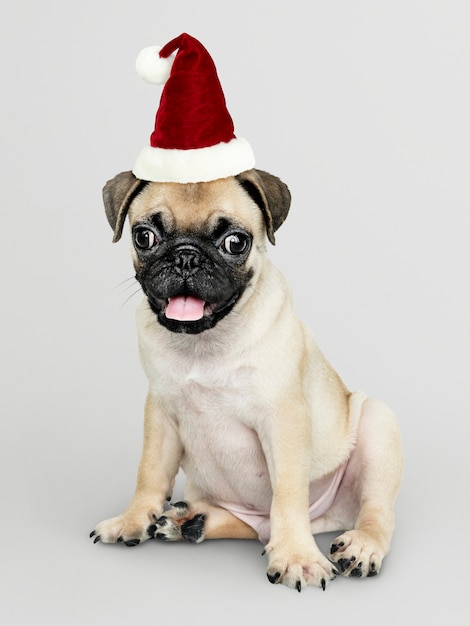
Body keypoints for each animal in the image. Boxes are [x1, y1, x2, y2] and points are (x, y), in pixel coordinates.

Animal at [91, 167, 404, 588]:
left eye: (235, 242)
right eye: (145, 237)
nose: (186, 256)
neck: (204, 344)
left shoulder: (284, 420)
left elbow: (287, 493)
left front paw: (296, 557)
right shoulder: (160, 412)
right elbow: (150, 473)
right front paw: (131, 520)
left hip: (378, 425)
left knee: (374, 510)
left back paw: (361, 546)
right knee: (253, 524)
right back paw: (191, 521)